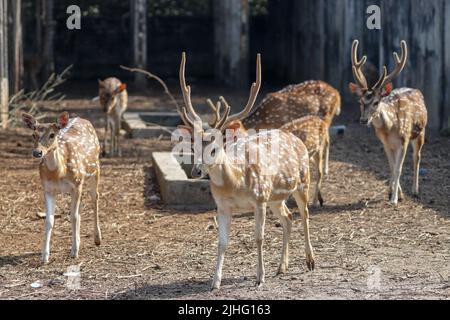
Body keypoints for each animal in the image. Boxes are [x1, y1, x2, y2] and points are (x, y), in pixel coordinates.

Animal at [21, 111, 102, 264]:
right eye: (33, 134)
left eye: (52, 134)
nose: (37, 152)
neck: (59, 173)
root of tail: (83, 119)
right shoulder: (48, 189)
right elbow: (49, 220)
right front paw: (44, 256)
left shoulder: (76, 184)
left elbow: (73, 217)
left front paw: (74, 252)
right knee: (80, 210)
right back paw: (79, 241)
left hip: (95, 169)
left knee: (95, 198)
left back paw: (97, 239)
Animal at [174, 53, 314, 290]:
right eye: (193, 148)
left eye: (214, 148)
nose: (196, 171)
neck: (236, 184)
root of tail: (295, 137)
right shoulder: (222, 205)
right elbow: (222, 242)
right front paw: (215, 282)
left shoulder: (259, 199)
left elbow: (259, 237)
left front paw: (260, 277)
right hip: (276, 197)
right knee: (288, 217)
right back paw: (281, 267)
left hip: (302, 181)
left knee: (304, 214)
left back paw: (310, 261)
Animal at [350, 40, 428, 205]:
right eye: (360, 101)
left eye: (376, 102)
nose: (363, 120)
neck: (390, 128)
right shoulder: (385, 143)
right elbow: (392, 167)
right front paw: (393, 193)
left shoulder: (404, 140)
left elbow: (398, 168)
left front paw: (394, 199)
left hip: (420, 132)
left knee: (417, 157)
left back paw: (415, 191)